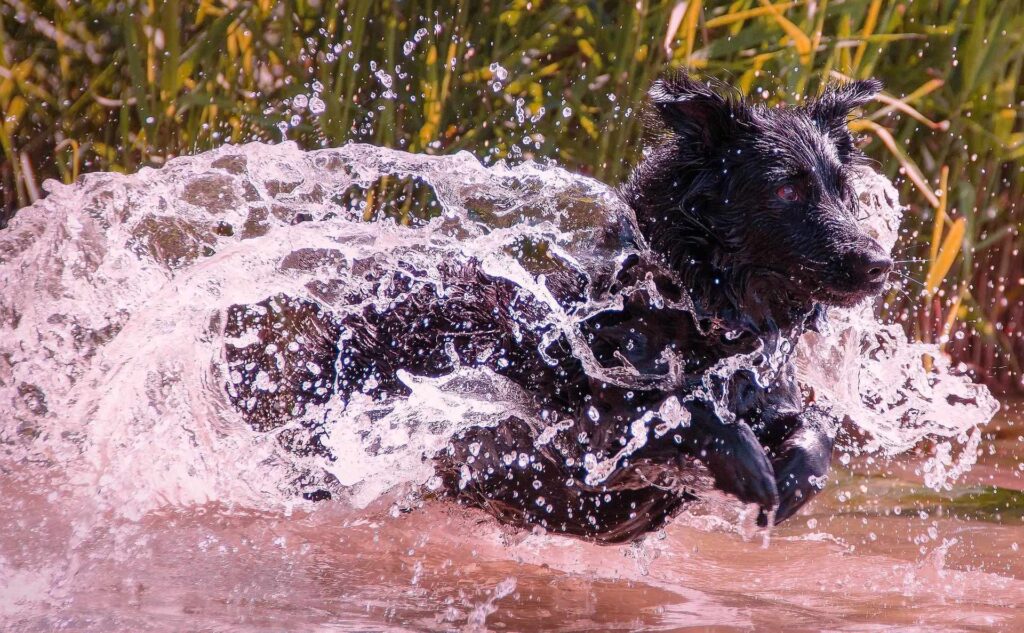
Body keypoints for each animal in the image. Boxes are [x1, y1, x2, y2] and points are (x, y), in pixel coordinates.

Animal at [222, 71, 888, 540]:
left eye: (843, 190)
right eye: (785, 190)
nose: (880, 264)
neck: (690, 312)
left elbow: (816, 433)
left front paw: (794, 476)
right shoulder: (580, 438)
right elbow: (682, 413)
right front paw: (747, 461)